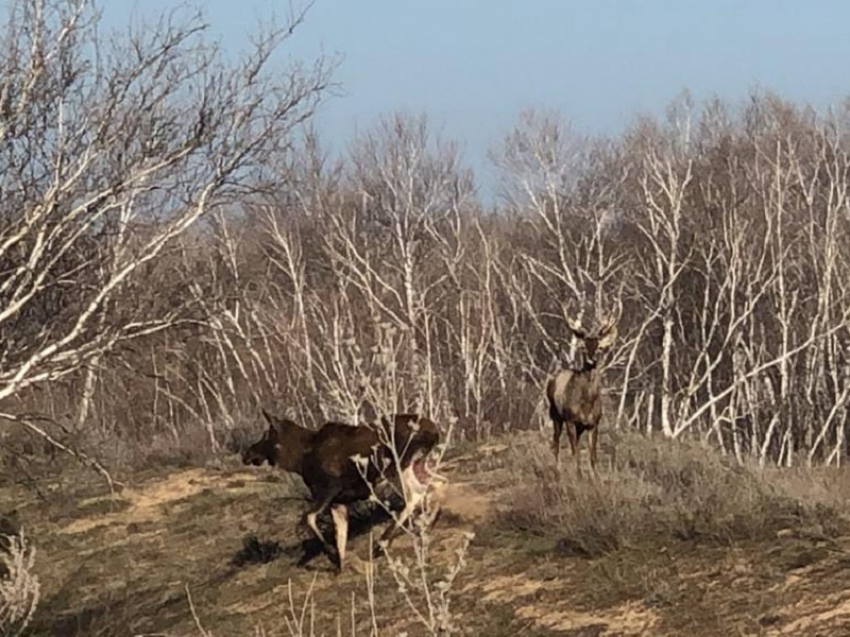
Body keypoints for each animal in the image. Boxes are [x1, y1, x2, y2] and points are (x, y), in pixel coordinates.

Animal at [240, 410, 444, 572]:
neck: (300, 460)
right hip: (420, 464)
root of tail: (435, 430)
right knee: (438, 483)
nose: (247, 454)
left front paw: (332, 555)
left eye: (266, 434)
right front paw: (341, 563)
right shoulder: (338, 502)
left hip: (399, 467)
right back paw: (429, 522)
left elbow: (308, 518)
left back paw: (382, 543)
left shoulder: (330, 488)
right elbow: (341, 536)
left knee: (416, 495)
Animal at [548, 304, 620, 476]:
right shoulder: (570, 419)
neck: (586, 403)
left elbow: (592, 455)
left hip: (579, 426)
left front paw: (594, 477)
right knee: (556, 443)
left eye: (599, 347)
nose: (591, 359)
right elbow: (575, 452)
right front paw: (578, 476)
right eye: (584, 347)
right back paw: (558, 472)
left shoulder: (594, 423)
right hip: (555, 415)